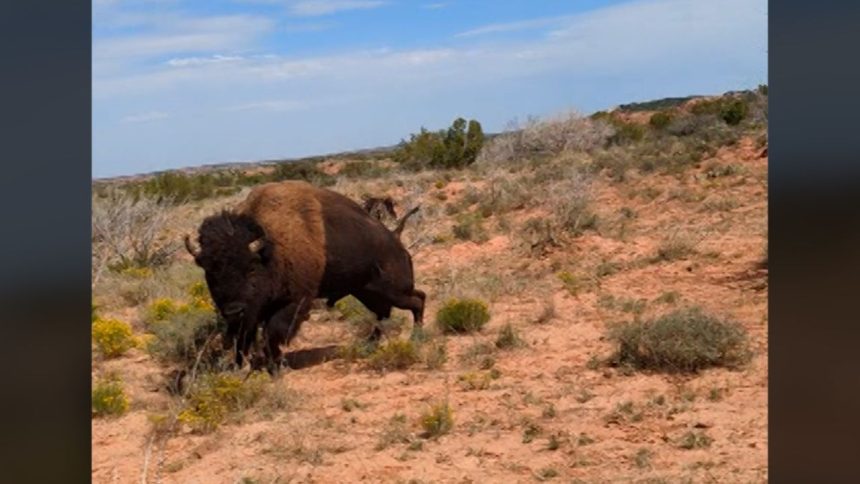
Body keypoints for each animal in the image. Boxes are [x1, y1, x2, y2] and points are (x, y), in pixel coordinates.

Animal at [188, 180, 430, 372]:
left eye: (250, 268)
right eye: (210, 272)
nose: (233, 310)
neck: (269, 249)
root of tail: (397, 241)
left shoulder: (294, 302)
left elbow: (271, 333)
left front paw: (274, 366)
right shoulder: (251, 315)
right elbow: (245, 338)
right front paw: (243, 366)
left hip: (393, 291)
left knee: (417, 300)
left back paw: (416, 337)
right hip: (368, 292)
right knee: (387, 312)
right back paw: (369, 344)